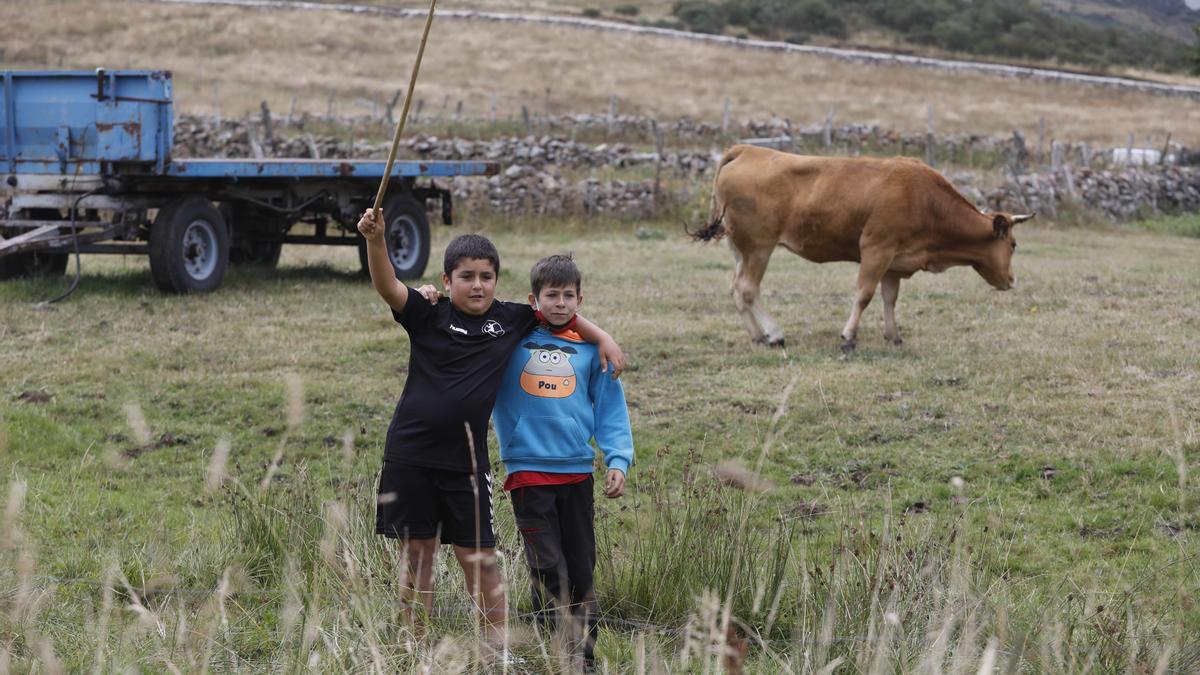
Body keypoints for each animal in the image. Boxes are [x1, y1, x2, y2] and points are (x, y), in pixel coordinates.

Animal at [696, 144, 1032, 348]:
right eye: (1014, 244)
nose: (1012, 280)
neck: (927, 200)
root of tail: (748, 150)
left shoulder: (895, 260)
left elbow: (889, 298)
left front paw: (893, 335)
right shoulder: (876, 249)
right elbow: (864, 294)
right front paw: (849, 336)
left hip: (740, 248)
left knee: (736, 289)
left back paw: (757, 335)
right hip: (759, 247)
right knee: (748, 288)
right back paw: (775, 334)